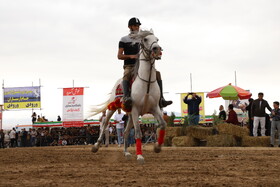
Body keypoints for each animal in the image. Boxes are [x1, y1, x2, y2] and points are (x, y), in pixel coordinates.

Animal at [89, 29, 166, 164]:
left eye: (157, 39)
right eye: (145, 39)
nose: (157, 49)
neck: (146, 83)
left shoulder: (155, 109)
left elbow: (162, 125)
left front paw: (157, 147)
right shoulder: (135, 110)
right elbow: (138, 133)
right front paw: (140, 156)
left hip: (129, 116)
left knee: (125, 132)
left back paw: (126, 152)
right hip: (113, 108)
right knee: (104, 125)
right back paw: (96, 146)